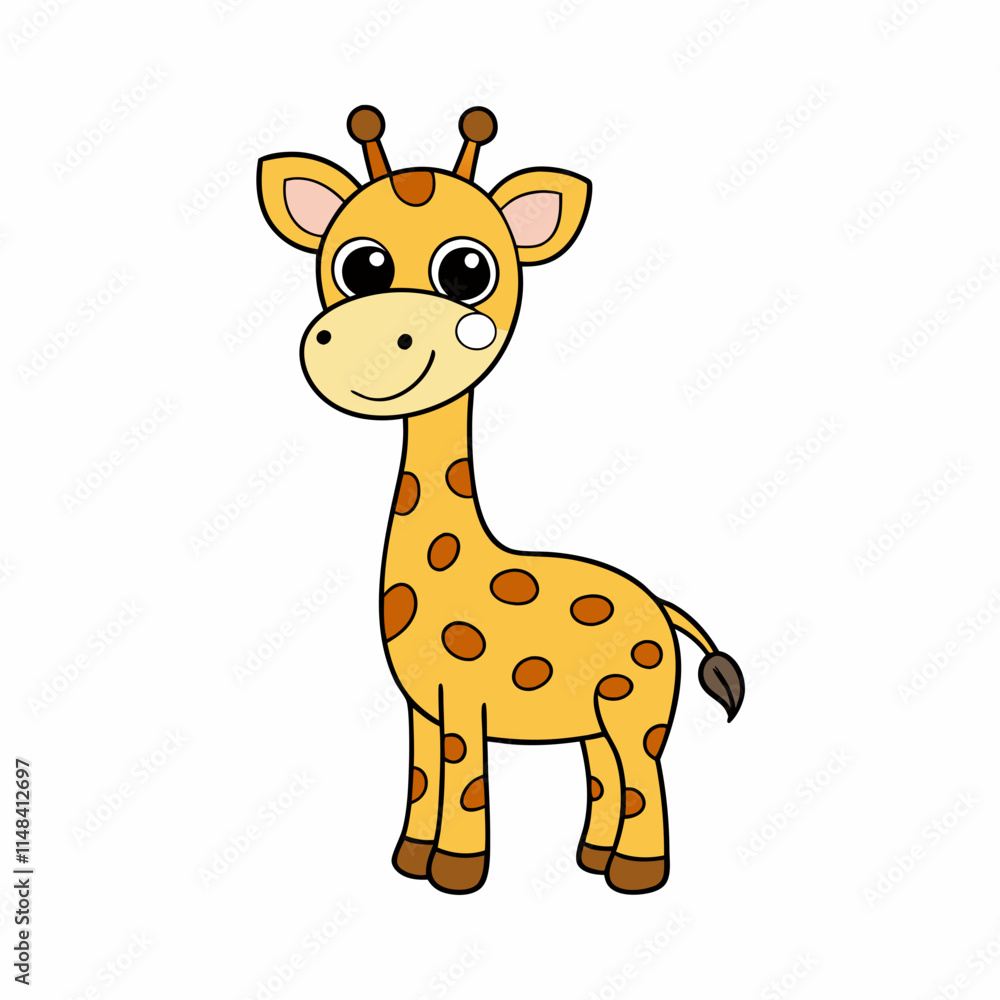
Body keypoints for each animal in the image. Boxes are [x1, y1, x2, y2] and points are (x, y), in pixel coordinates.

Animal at [255, 105, 745, 895]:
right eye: (359, 266)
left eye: (468, 271)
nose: (363, 344)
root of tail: (663, 607)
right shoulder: (422, 707)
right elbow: (423, 778)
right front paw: (410, 862)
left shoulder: (465, 700)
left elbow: (464, 779)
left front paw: (457, 873)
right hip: (595, 714)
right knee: (605, 773)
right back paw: (591, 860)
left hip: (635, 705)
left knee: (643, 773)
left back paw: (635, 875)